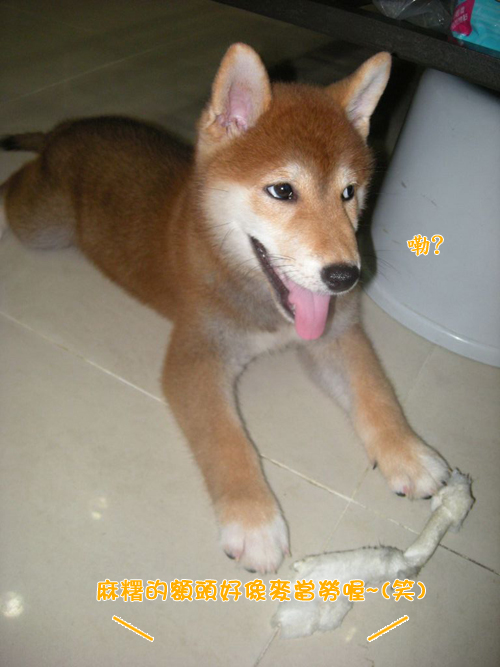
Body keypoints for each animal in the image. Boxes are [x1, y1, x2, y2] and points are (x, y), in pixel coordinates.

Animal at [0, 44, 450, 573]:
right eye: (282, 190)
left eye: (349, 192)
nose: (345, 277)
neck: (259, 299)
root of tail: (63, 131)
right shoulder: (196, 357)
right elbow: (228, 443)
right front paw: (253, 521)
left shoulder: (337, 333)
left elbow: (376, 392)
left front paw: (409, 453)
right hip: (43, 226)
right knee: (11, 190)